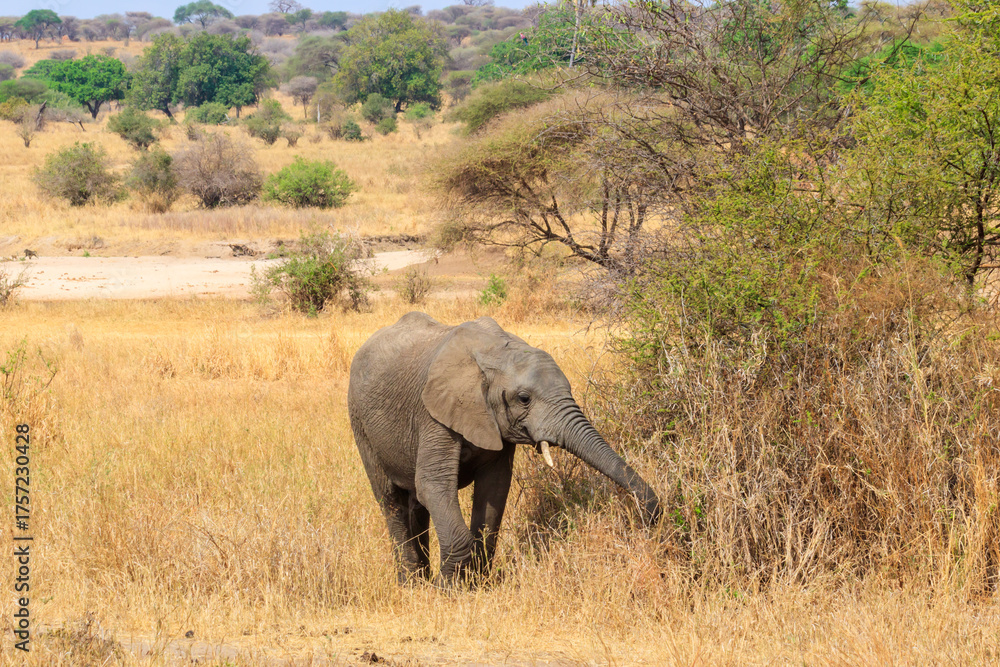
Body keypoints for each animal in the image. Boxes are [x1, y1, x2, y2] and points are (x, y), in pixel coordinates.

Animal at [348, 312, 661, 585]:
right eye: (523, 399)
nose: (650, 516)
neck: (496, 353)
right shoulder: (432, 414)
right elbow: (433, 485)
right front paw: (447, 590)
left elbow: (494, 489)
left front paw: (476, 585)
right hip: (360, 422)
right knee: (391, 500)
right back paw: (412, 584)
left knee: (416, 503)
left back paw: (421, 580)